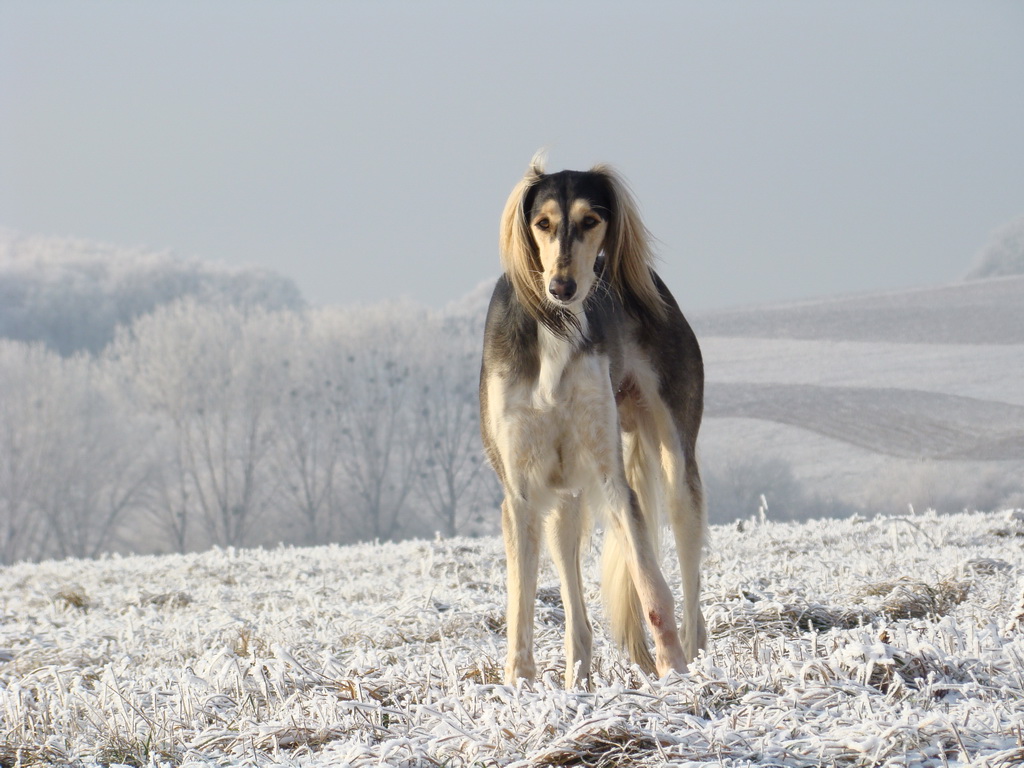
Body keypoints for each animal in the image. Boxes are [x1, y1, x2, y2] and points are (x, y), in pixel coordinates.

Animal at [477, 153, 704, 688]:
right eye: (541, 223)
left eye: (590, 220)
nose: (562, 287)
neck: (556, 326)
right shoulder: (521, 491)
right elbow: (521, 605)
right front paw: (519, 683)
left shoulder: (611, 477)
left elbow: (652, 587)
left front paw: (674, 674)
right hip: (565, 498)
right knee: (574, 605)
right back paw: (576, 681)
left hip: (674, 465)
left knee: (689, 585)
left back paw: (695, 659)